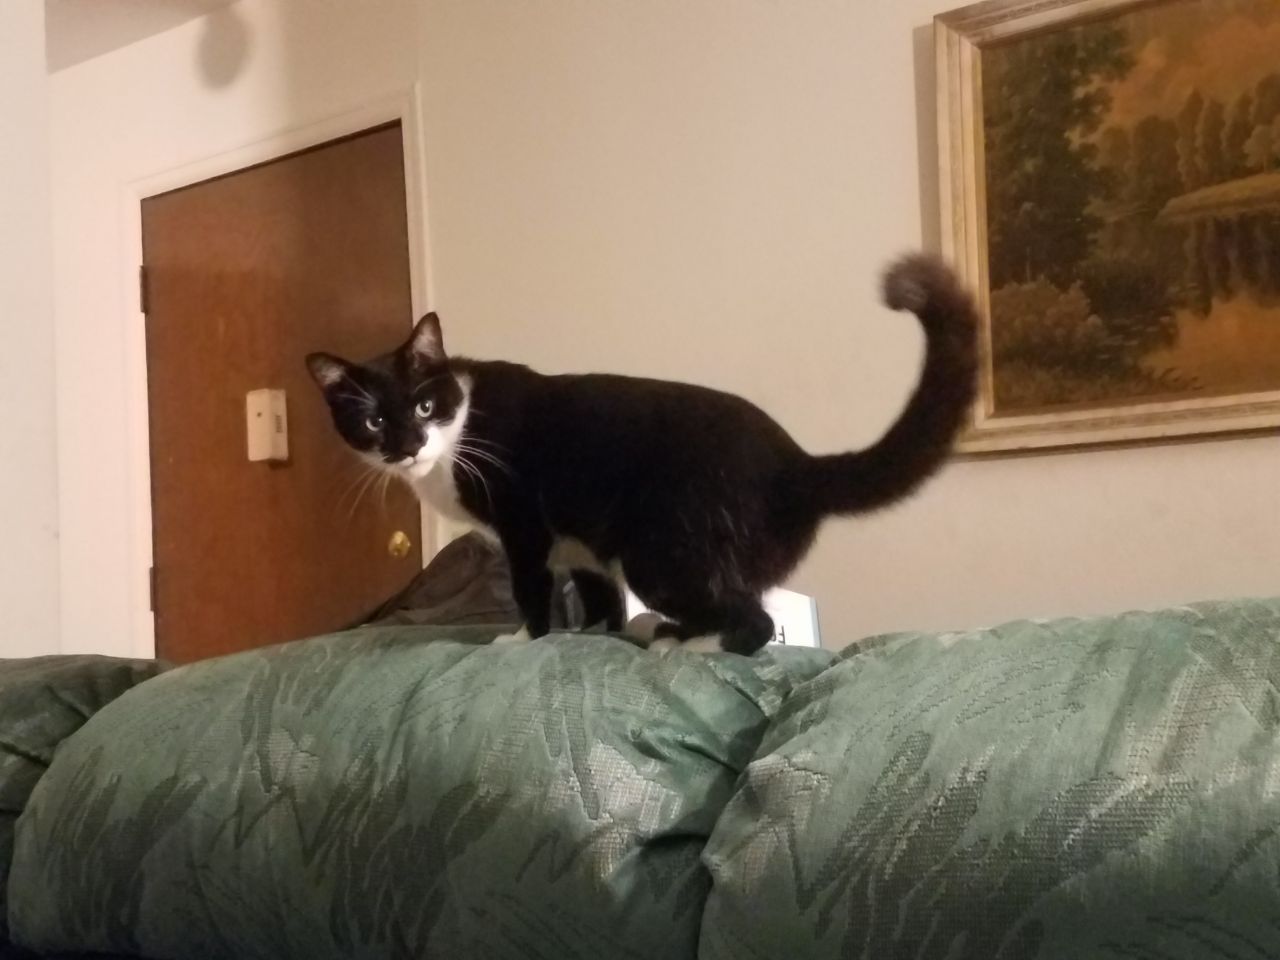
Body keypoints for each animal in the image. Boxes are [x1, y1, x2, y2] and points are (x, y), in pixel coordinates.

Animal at [309, 256, 977, 660]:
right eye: (374, 421)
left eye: (424, 405)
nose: (408, 445)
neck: (458, 432)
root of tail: (797, 465)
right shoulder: (578, 542)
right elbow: (596, 592)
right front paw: (593, 635)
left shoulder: (524, 521)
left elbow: (529, 586)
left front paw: (525, 639)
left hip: (661, 549)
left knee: (754, 622)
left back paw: (687, 644)